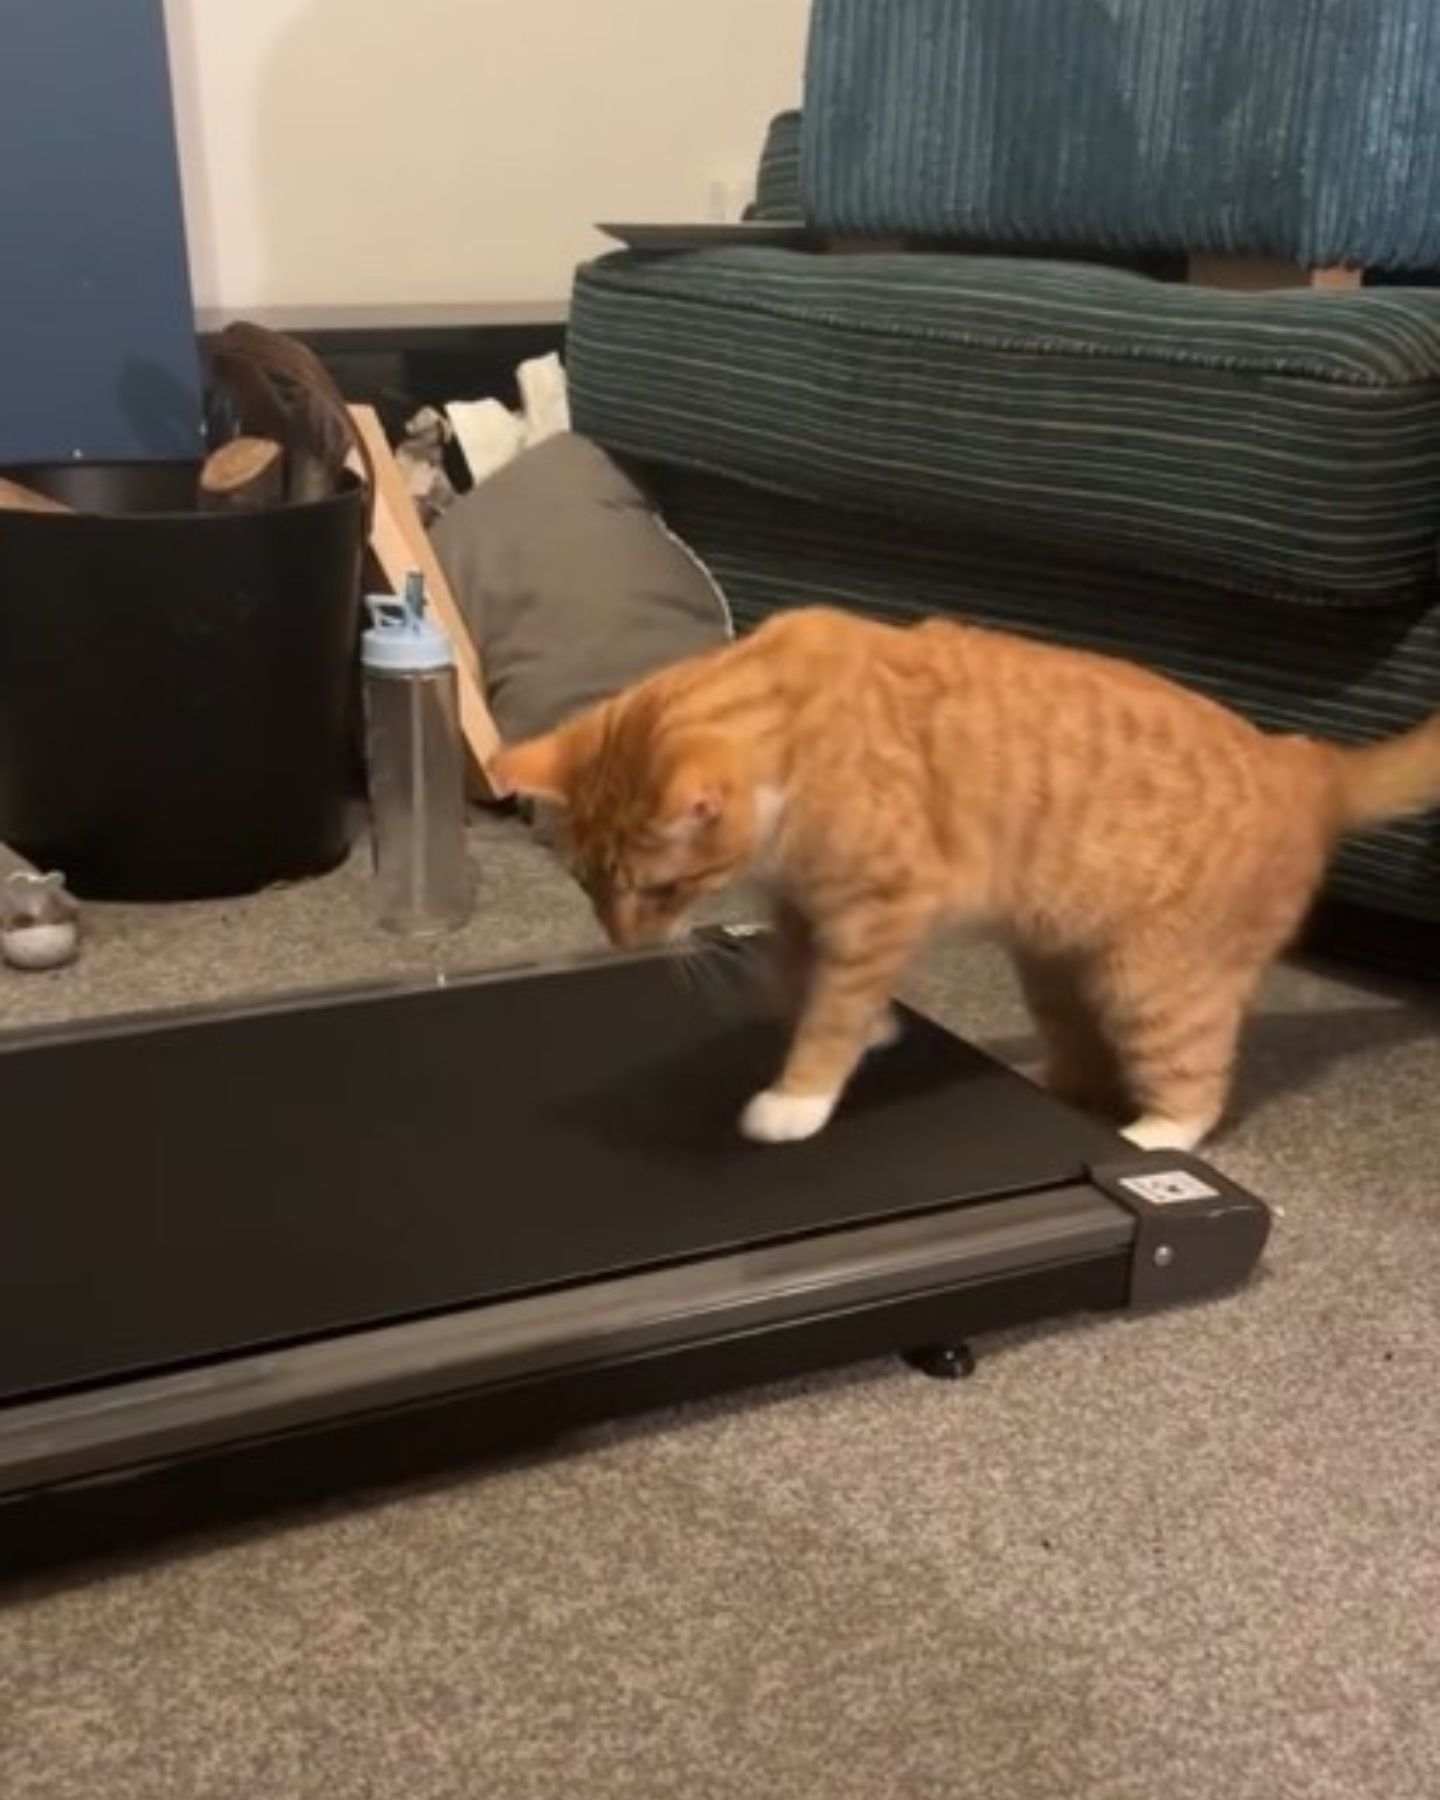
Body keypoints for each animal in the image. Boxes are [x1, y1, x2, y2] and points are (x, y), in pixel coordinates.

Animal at [496, 601, 1440, 1137]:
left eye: (659, 890)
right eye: (587, 885)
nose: (622, 945)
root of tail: (1308, 765)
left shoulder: (885, 905)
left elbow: (832, 1009)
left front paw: (800, 1095)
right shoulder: (807, 902)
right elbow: (797, 974)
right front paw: (864, 1024)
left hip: (1158, 982)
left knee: (1195, 1082)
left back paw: (1147, 1145)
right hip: (1058, 972)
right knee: (1084, 1056)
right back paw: (1064, 1099)